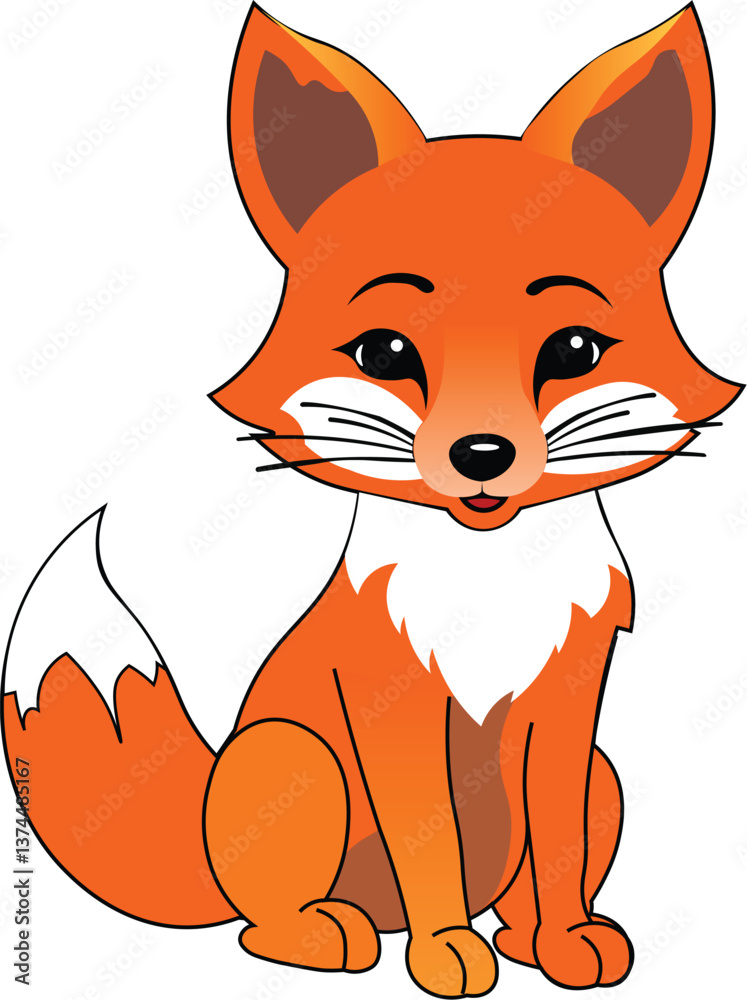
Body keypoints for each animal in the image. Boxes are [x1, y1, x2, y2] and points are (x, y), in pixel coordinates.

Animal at [2, 4, 742, 997]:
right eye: (385, 352)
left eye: (575, 350)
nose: (481, 455)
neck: (486, 588)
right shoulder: (394, 708)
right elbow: (428, 852)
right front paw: (445, 954)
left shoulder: (568, 709)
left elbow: (555, 849)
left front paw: (562, 941)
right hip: (293, 756)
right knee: (259, 928)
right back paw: (331, 935)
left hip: (604, 775)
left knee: (523, 880)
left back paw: (520, 937)